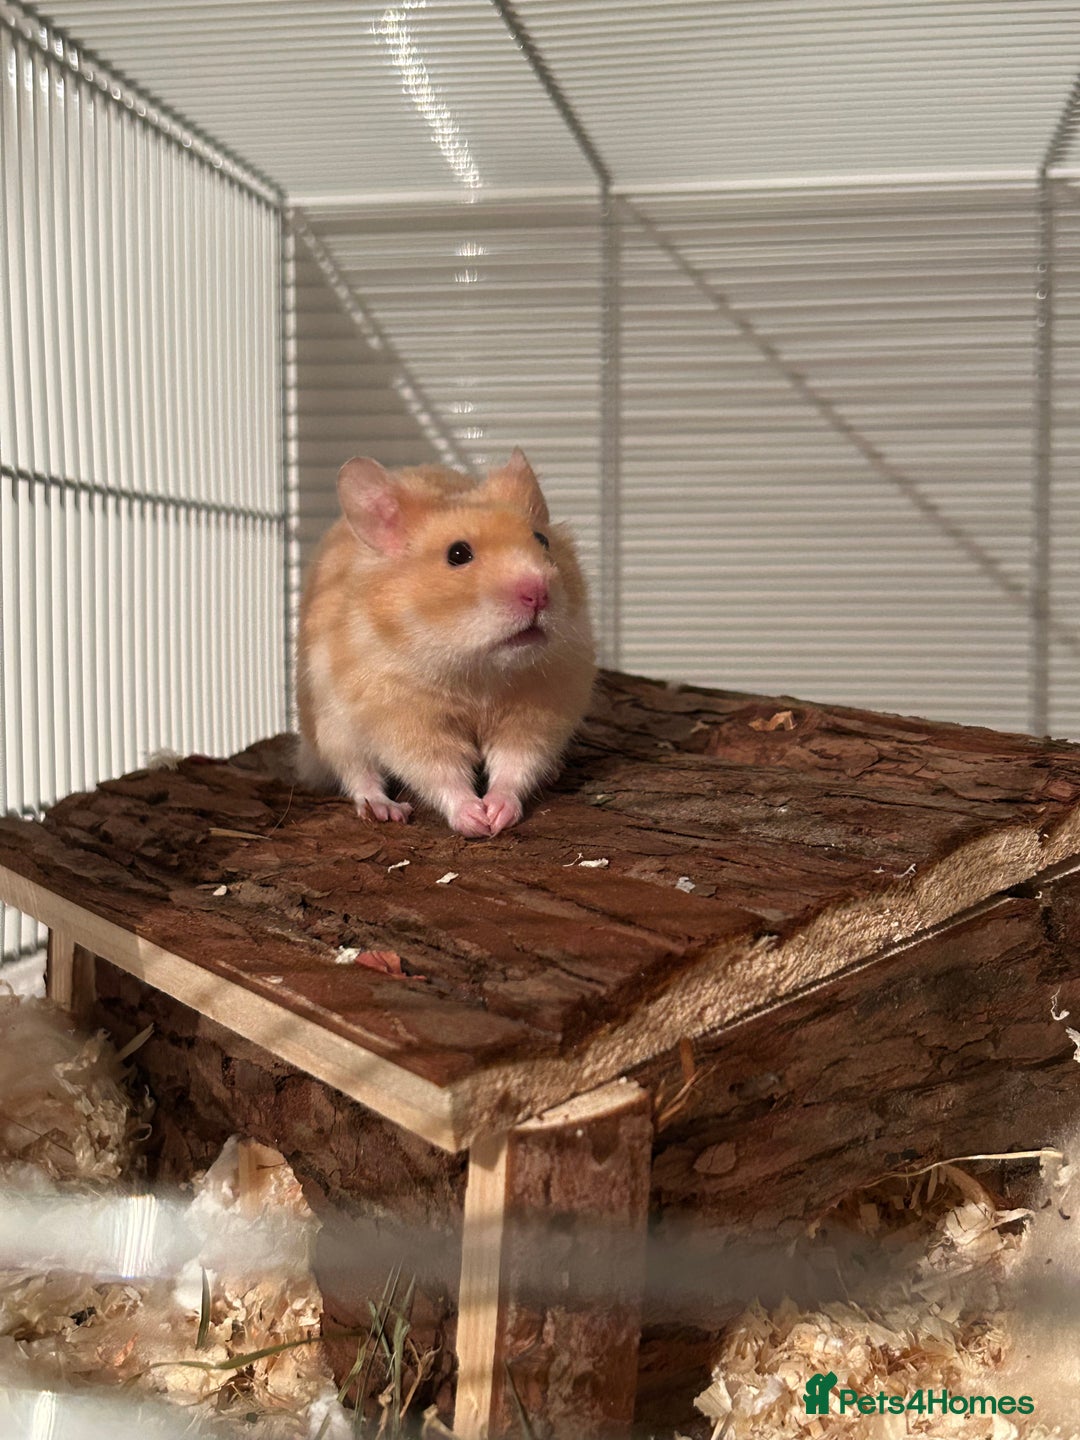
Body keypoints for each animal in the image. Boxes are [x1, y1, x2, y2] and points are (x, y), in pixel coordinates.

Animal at [296, 448, 596, 838]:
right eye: (458, 554)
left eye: (543, 541)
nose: (538, 594)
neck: (479, 672)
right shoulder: (405, 720)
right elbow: (440, 772)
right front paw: (475, 821)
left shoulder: (537, 712)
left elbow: (514, 764)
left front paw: (498, 814)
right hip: (331, 727)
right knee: (357, 773)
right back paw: (385, 810)